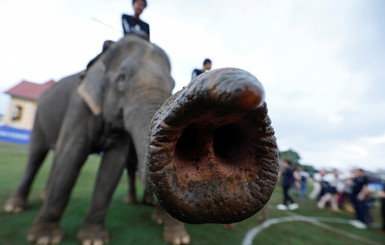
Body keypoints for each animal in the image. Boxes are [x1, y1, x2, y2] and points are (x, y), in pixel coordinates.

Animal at [4, 33, 278, 245]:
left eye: (173, 83)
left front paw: (93, 239)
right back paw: (15, 207)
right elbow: (71, 155)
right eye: (122, 78)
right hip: (40, 115)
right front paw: (44, 239)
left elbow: (111, 166)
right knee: (37, 155)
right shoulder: (80, 106)